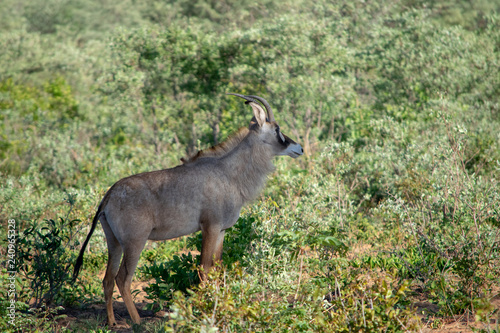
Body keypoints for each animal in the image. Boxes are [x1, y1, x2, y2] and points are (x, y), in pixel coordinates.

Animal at [72, 93, 302, 324]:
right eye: (277, 129)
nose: (299, 148)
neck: (228, 173)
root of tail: (109, 196)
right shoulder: (210, 227)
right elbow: (204, 270)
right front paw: (204, 311)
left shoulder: (221, 231)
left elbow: (217, 269)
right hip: (134, 242)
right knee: (123, 279)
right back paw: (137, 322)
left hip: (114, 242)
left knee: (108, 279)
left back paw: (112, 322)